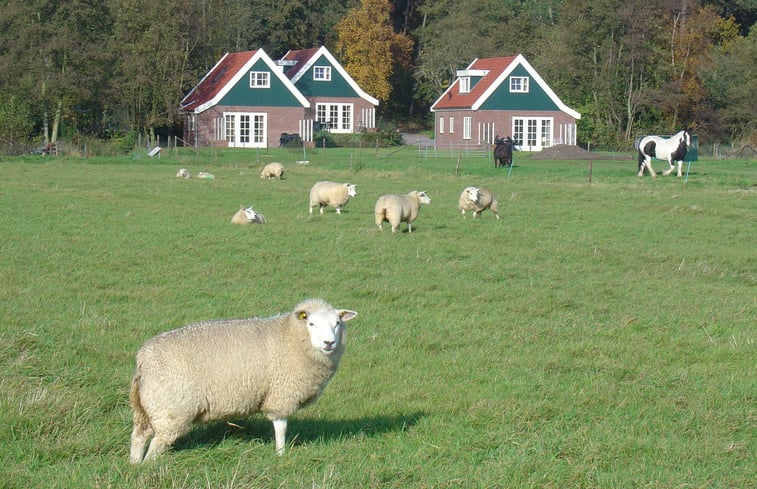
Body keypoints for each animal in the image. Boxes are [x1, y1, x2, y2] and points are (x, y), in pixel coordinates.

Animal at [130, 298, 358, 462]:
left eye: (337, 324)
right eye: (311, 323)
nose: (329, 342)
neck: (291, 336)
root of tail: (143, 358)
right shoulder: (281, 395)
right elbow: (281, 428)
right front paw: (281, 455)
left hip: (147, 408)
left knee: (139, 437)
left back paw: (135, 466)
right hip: (171, 408)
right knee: (157, 444)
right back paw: (151, 467)